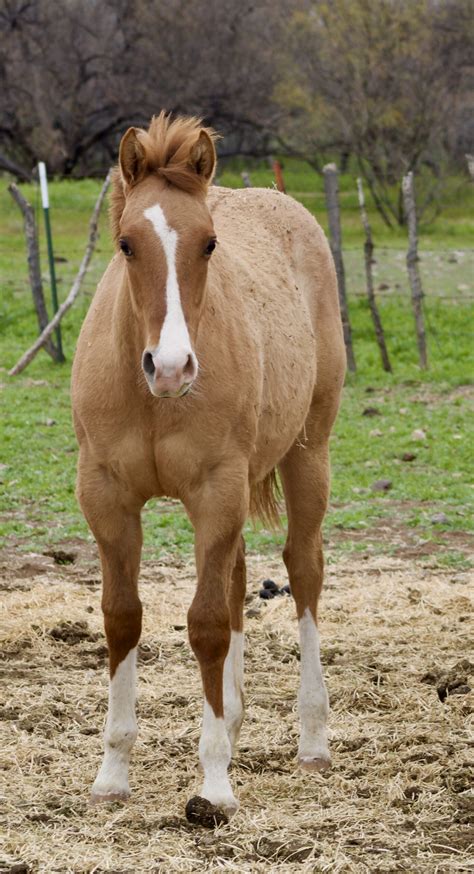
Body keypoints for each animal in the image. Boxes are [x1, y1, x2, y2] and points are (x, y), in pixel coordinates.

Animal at [71, 110, 344, 824]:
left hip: (308, 454)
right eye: (126, 244)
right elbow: (122, 617)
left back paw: (312, 738)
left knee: (303, 571)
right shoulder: (106, 497)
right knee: (241, 573)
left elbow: (207, 623)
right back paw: (237, 721)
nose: (170, 368)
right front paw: (112, 774)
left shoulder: (215, 491)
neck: (153, 400)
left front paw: (214, 783)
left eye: (210, 245)